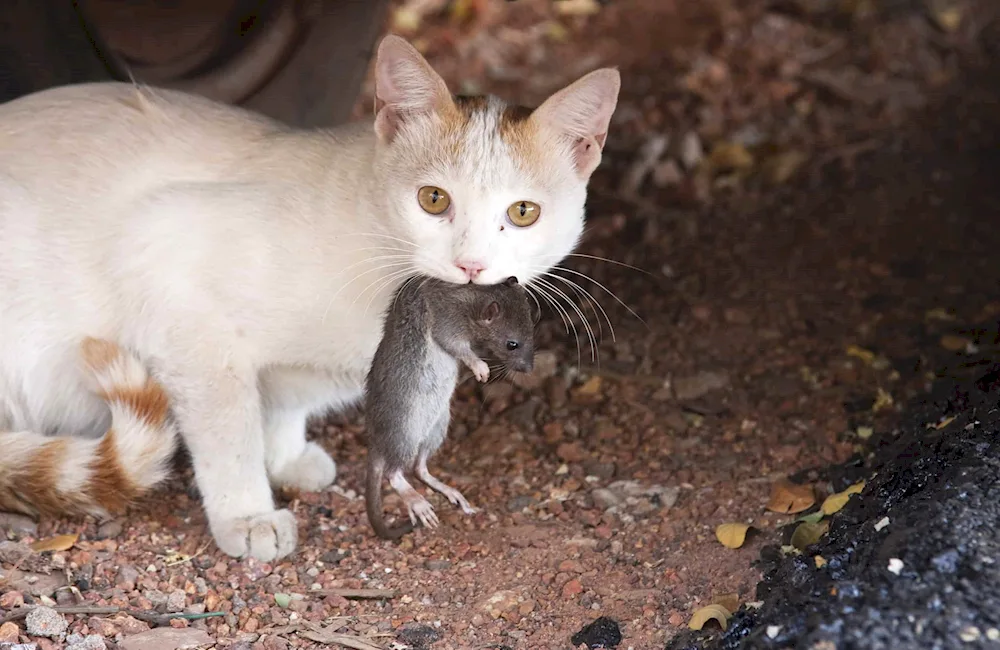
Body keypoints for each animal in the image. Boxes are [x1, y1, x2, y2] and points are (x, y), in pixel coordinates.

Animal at [0, 36, 620, 556]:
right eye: (433, 199)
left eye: (523, 212)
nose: (471, 264)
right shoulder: (170, 277)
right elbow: (229, 427)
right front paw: (247, 513)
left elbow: (279, 405)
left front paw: (284, 456)